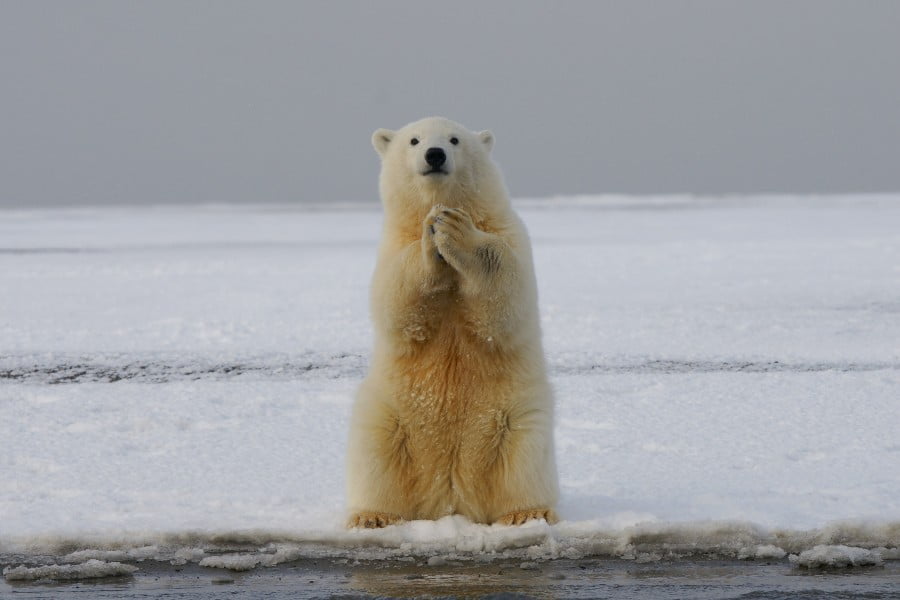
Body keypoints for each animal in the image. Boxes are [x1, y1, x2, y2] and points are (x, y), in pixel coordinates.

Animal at [348, 115, 560, 528]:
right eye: (414, 140)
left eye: (455, 139)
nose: (435, 154)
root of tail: (451, 500)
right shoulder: (391, 246)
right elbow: (396, 301)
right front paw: (432, 237)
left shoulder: (509, 233)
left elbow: (507, 295)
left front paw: (454, 230)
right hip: (390, 417)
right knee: (376, 456)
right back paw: (373, 516)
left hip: (515, 418)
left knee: (524, 461)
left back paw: (527, 513)